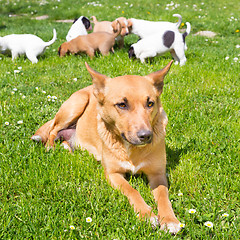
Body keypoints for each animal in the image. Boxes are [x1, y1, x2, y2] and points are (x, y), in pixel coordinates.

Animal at [31, 60, 182, 234]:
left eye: (150, 103)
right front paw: (145, 214)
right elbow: (132, 190)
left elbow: (163, 196)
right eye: (122, 105)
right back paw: (50, 147)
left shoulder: (157, 173)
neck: (131, 149)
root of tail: (90, 87)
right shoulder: (113, 174)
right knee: (52, 129)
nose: (146, 136)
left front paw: (170, 220)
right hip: (75, 105)